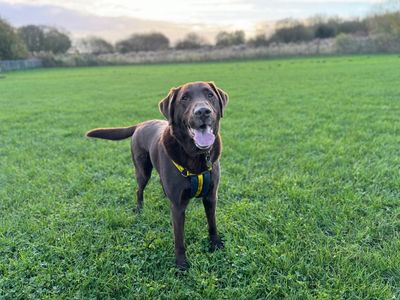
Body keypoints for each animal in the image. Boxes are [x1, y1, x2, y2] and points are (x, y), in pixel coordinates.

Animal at [85, 81, 228, 268]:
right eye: (184, 98)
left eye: (210, 95)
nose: (203, 111)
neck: (196, 156)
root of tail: (140, 124)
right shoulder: (178, 206)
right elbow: (179, 239)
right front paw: (181, 265)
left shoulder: (211, 197)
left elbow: (212, 224)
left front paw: (216, 245)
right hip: (142, 170)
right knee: (139, 190)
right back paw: (139, 210)